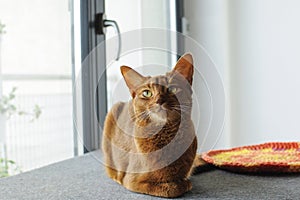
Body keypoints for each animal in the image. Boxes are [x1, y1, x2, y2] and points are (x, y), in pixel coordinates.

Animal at [101, 54, 204, 198]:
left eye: (172, 89)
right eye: (147, 93)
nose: (159, 101)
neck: (165, 135)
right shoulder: (132, 181)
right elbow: (172, 189)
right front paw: (180, 184)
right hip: (112, 112)